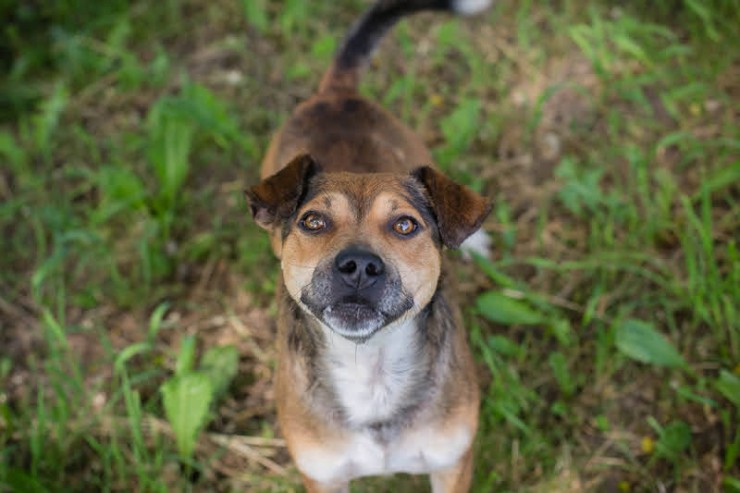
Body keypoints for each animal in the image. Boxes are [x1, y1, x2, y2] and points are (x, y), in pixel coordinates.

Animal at [246, 1, 494, 490]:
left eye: (404, 225)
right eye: (313, 221)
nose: (359, 266)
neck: (372, 369)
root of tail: (336, 94)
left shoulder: (452, 463)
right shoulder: (324, 476)